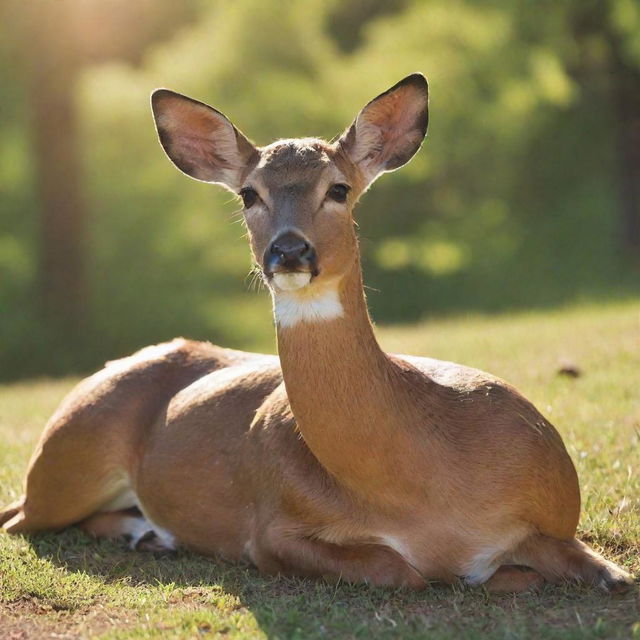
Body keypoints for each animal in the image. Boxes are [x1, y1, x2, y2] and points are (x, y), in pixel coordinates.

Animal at [0, 72, 632, 592]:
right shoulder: (270, 529)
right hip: (65, 462)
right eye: (248, 194)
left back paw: (149, 534)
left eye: (339, 188)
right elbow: (398, 569)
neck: (423, 489)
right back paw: (147, 534)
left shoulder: (556, 510)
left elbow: (602, 571)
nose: (288, 250)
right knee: (18, 518)